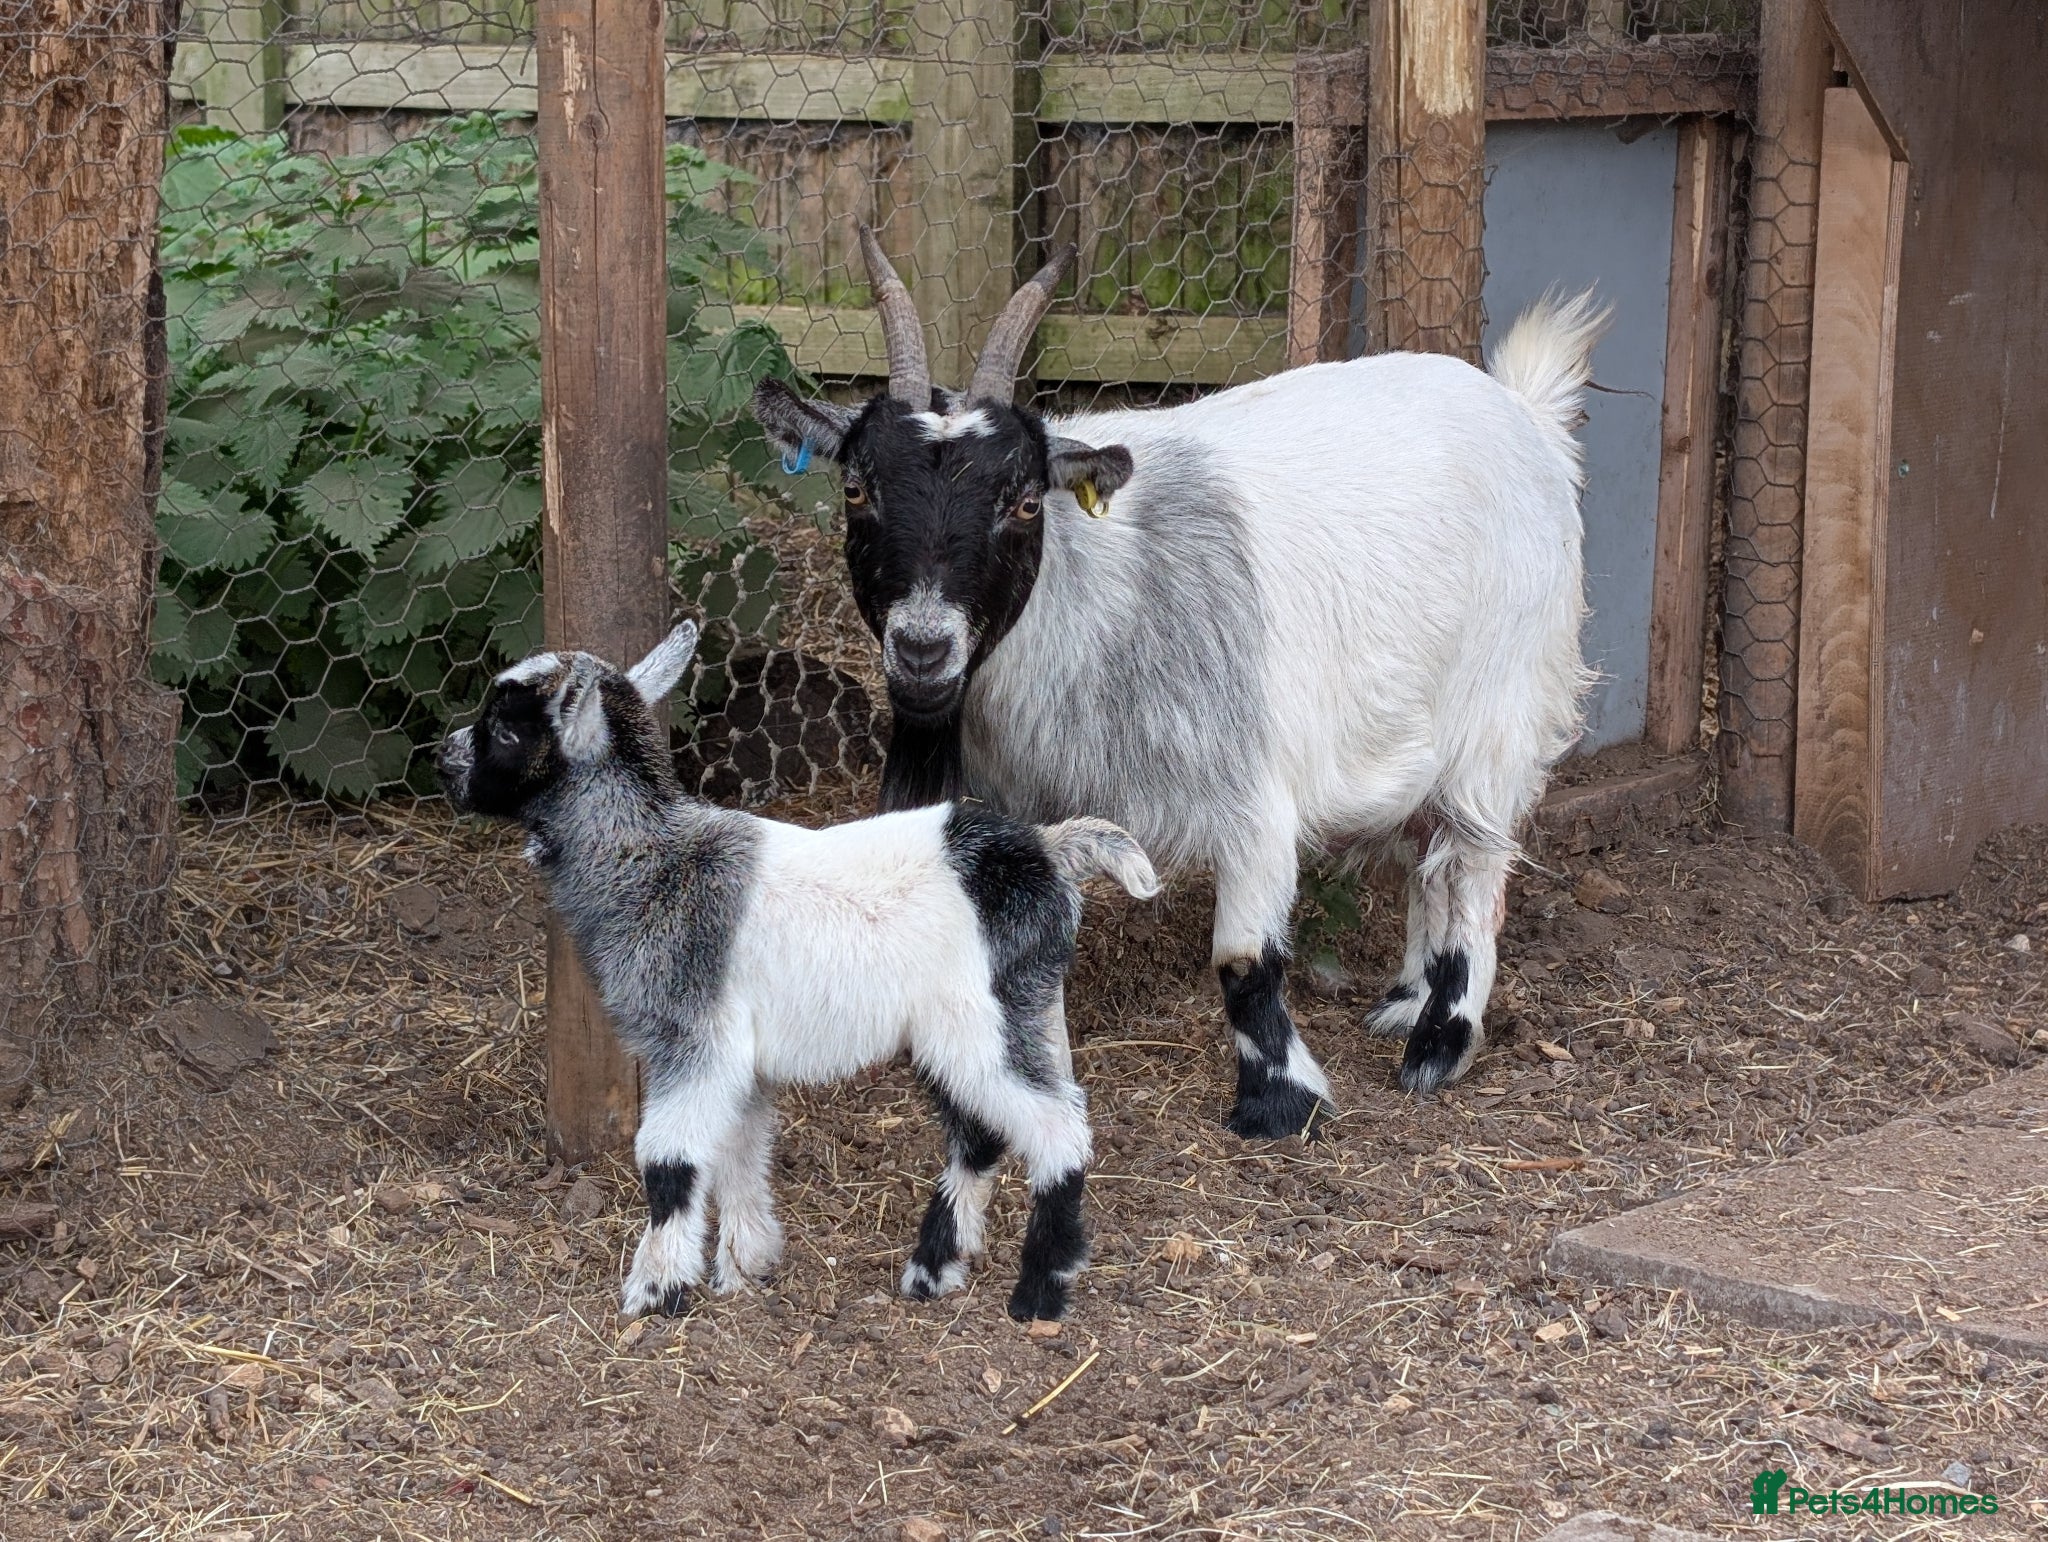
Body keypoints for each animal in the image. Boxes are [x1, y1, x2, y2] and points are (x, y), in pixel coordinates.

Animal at [436, 620, 1159, 1320]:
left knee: (1058, 1128)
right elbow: (740, 1152)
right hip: (978, 1024)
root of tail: (1050, 852)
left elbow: (669, 1162)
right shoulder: (739, 1062)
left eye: (508, 731)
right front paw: (744, 1267)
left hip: (986, 1021)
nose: (444, 759)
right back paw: (932, 1271)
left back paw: (1039, 1294)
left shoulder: (695, 1040)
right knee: (982, 1132)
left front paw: (654, 1292)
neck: (656, 866)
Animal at [752, 225, 1606, 1138]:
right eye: (855, 487)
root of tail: (1524, 415)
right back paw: (1408, 997)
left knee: (1475, 866)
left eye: (1024, 501)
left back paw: (1440, 1041)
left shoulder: (1255, 798)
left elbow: (1243, 959)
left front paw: (1279, 1101)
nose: (921, 648)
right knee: (1429, 853)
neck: (1099, 596)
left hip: (1502, 705)